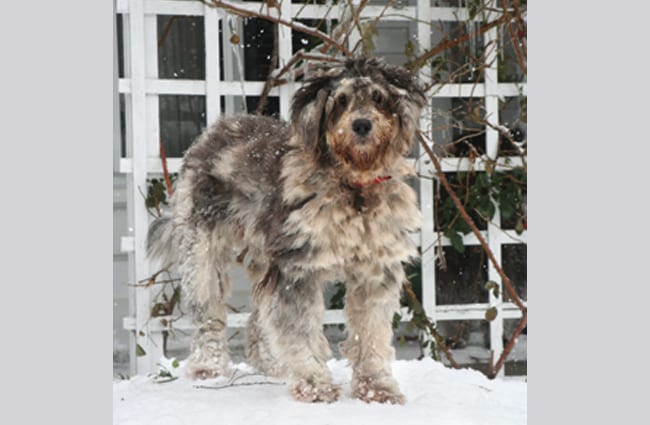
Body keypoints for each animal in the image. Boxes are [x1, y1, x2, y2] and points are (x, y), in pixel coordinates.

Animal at [147, 58, 426, 402]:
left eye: (378, 97)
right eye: (341, 100)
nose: (362, 125)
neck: (352, 186)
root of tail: (213, 131)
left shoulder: (374, 271)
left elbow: (371, 334)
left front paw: (376, 388)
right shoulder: (297, 267)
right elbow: (301, 330)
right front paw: (315, 385)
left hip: (263, 254)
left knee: (261, 317)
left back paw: (270, 364)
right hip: (203, 254)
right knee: (208, 315)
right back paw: (207, 366)